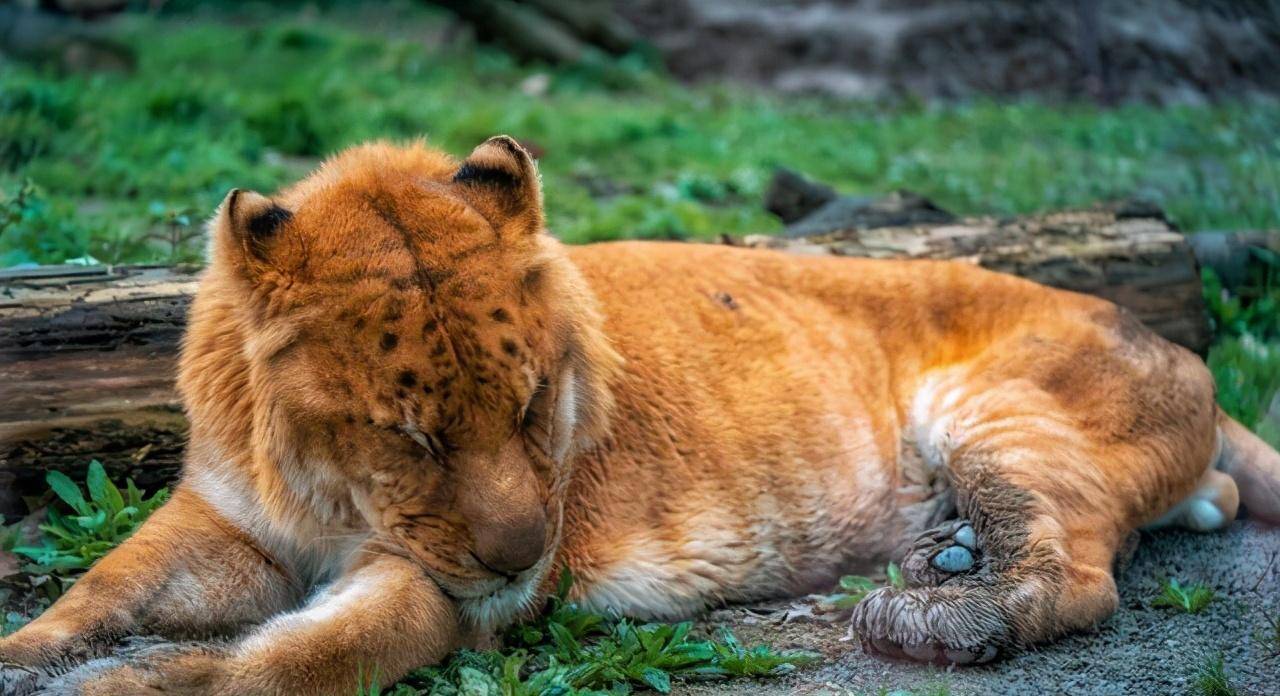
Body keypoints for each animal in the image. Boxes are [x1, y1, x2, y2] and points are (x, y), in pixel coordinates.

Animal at [2, 138, 1280, 690]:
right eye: (409, 434)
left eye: (530, 409)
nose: (521, 558)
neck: (323, 493)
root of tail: (1168, 338)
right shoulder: (227, 520)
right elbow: (104, 589)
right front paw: (32, 656)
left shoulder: (444, 592)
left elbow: (295, 661)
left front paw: (132, 687)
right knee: (1193, 508)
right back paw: (945, 553)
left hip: (999, 408)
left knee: (1082, 570)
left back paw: (936, 612)